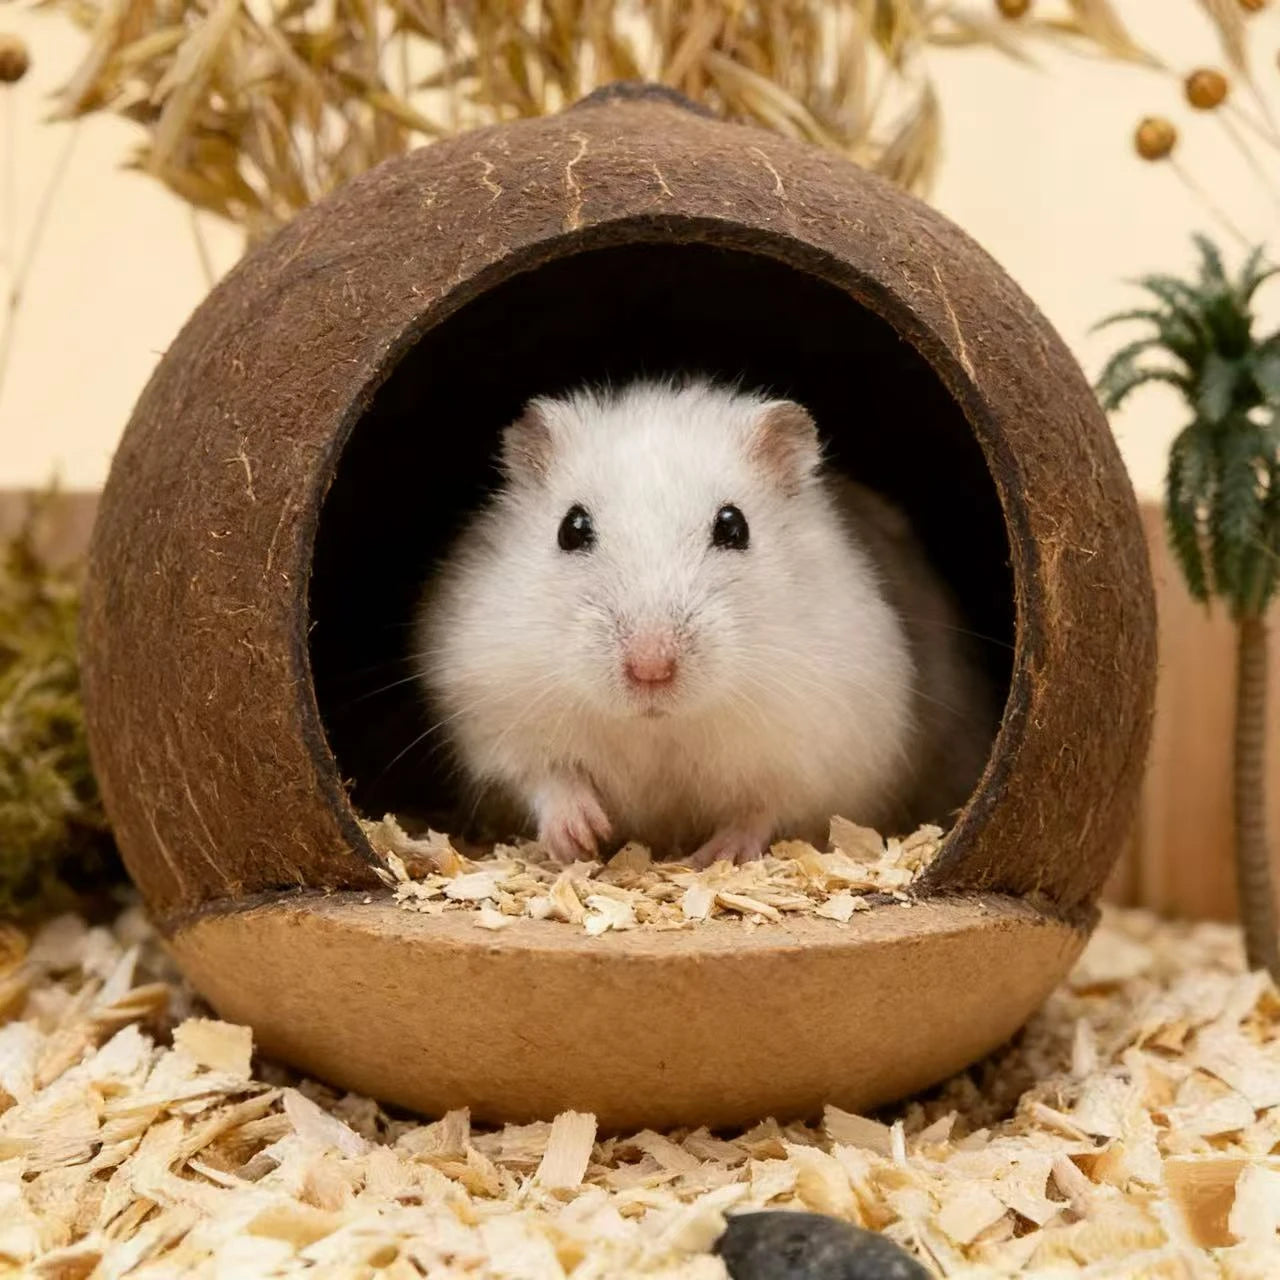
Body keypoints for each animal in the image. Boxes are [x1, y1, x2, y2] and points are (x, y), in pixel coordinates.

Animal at [415, 377, 997, 866]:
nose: (650, 669)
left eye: (733, 526)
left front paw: (715, 858)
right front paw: (582, 837)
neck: (660, 726)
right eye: (572, 528)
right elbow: (545, 774)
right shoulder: (493, 707)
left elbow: (767, 805)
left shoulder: (825, 744)